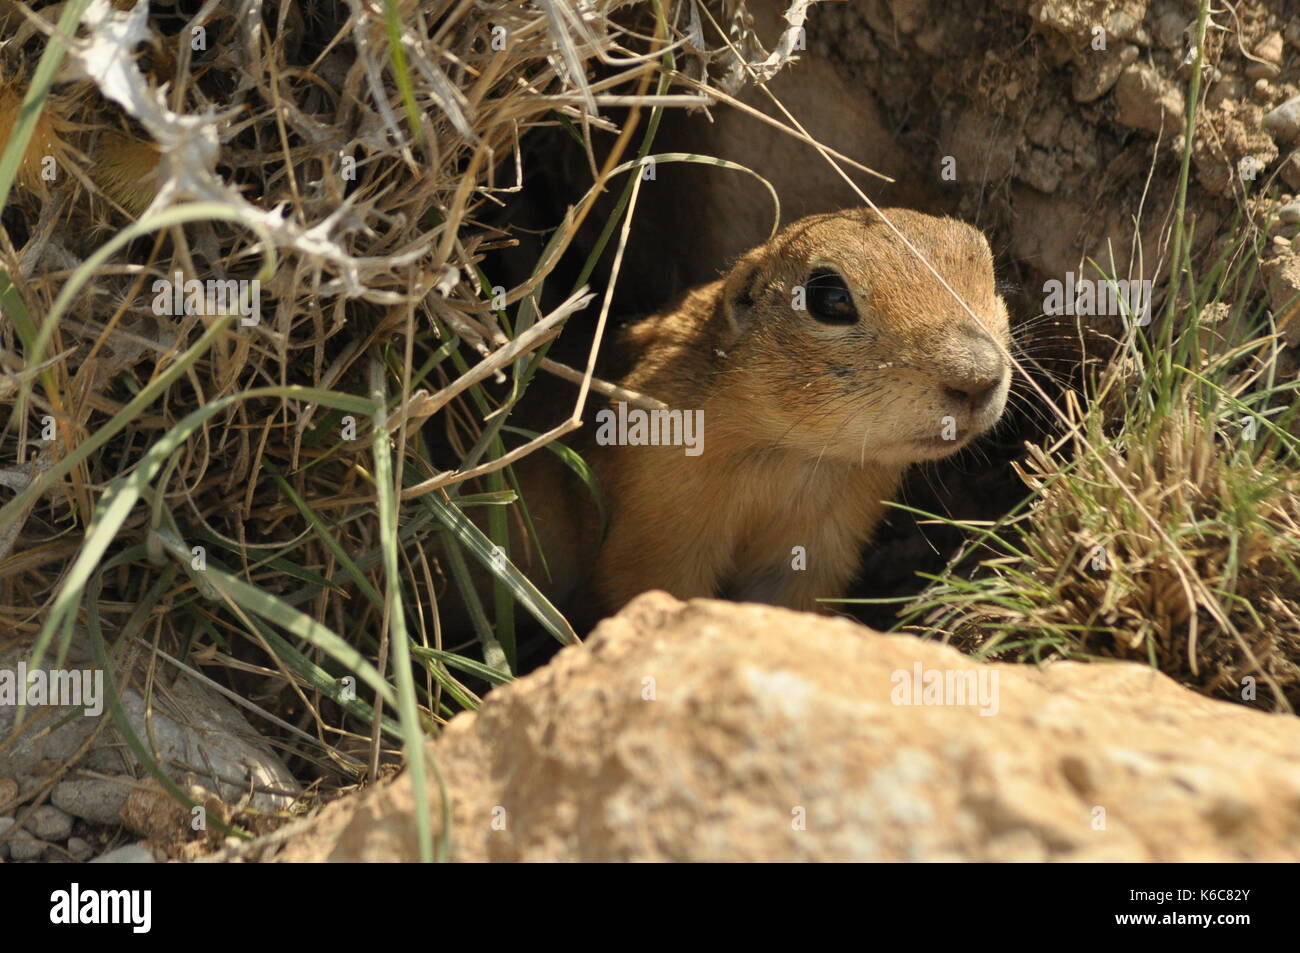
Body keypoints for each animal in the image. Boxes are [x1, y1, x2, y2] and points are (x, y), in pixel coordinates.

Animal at [483, 206, 1008, 621]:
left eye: (988, 265)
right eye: (829, 297)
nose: (979, 377)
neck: (791, 452)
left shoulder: (820, 544)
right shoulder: (657, 522)